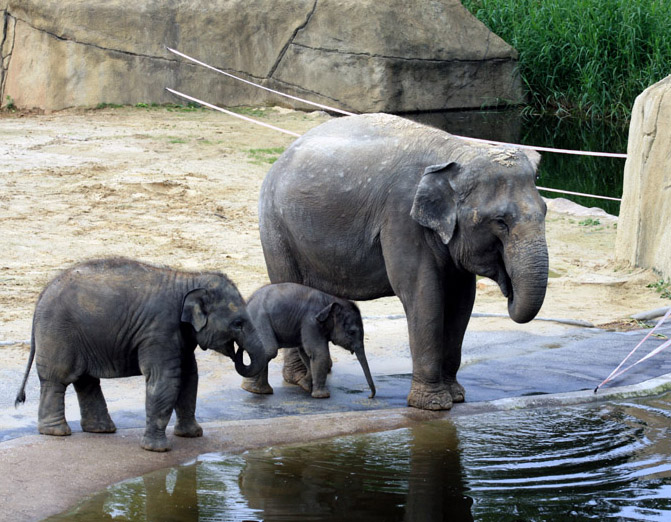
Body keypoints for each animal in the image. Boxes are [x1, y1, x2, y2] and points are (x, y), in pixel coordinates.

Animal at [13, 258, 266, 448]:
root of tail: (42, 293)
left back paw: (101, 430)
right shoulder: (159, 331)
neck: (189, 279)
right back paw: (57, 432)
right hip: (58, 332)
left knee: (85, 380)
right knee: (57, 379)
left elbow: (189, 377)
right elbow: (165, 380)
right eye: (238, 323)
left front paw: (192, 435)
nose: (236, 351)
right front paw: (157, 449)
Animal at [242, 282, 378, 396]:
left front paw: (305, 386)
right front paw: (322, 395)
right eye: (352, 332)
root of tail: (248, 301)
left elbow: (306, 353)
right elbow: (319, 353)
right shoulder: (311, 322)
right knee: (269, 350)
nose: (370, 396)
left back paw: (259, 391)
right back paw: (251, 389)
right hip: (258, 320)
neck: (331, 300)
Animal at [260, 114, 548, 410]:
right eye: (500, 222)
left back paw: (321, 373)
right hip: (275, 228)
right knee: (289, 287)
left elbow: (462, 301)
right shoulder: (401, 218)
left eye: (545, 212)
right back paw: (301, 381)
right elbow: (423, 295)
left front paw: (457, 396)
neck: (458, 152)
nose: (508, 287)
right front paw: (434, 404)